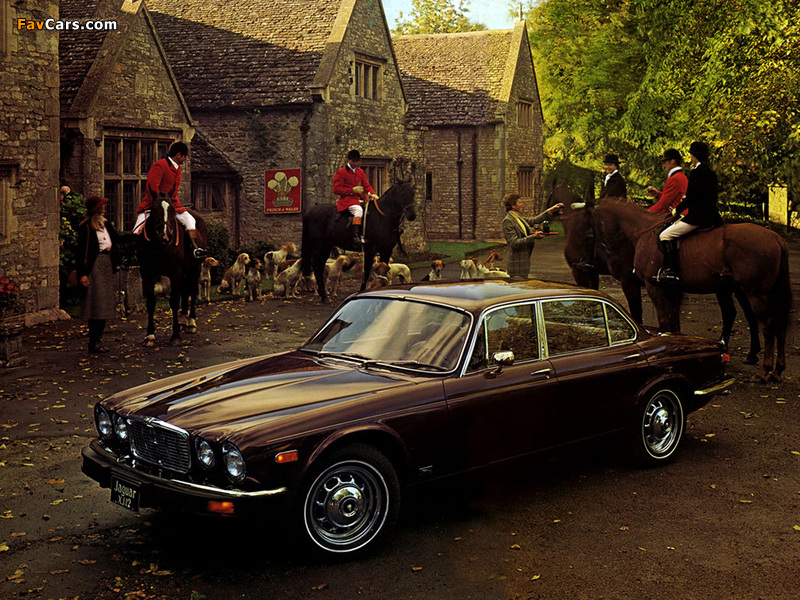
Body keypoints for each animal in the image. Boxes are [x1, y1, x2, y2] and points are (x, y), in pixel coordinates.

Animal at [136, 195, 206, 345]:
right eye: (153, 209)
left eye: (173, 209)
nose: (165, 236)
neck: (158, 246)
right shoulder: (147, 272)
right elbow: (150, 301)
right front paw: (149, 335)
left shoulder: (175, 271)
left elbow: (174, 300)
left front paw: (175, 335)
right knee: (185, 292)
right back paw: (184, 320)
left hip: (195, 268)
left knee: (192, 291)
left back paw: (191, 323)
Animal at [565, 198, 790, 382]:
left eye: (586, 229)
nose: (577, 262)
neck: (641, 233)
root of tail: (776, 238)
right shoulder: (670, 289)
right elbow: (673, 321)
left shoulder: (649, 286)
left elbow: (660, 320)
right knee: (771, 323)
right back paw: (774, 368)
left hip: (755, 292)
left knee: (767, 325)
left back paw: (764, 370)